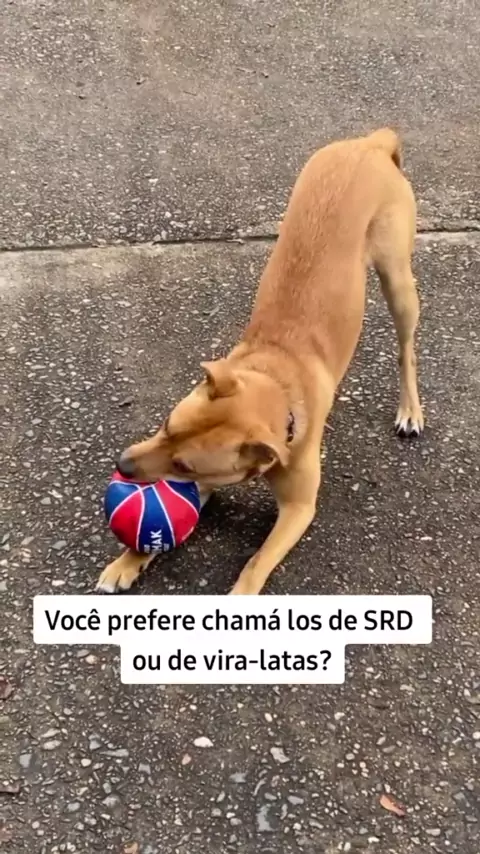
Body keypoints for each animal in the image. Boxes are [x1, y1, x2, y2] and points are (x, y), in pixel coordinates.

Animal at [96, 127, 423, 595]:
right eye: (166, 425)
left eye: (183, 463)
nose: (121, 465)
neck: (277, 378)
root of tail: (370, 143)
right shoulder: (201, 483)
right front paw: (129, 558)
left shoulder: (298, 507)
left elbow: (257, 562)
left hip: (397, 280)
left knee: (406, 349)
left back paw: (410, 409)